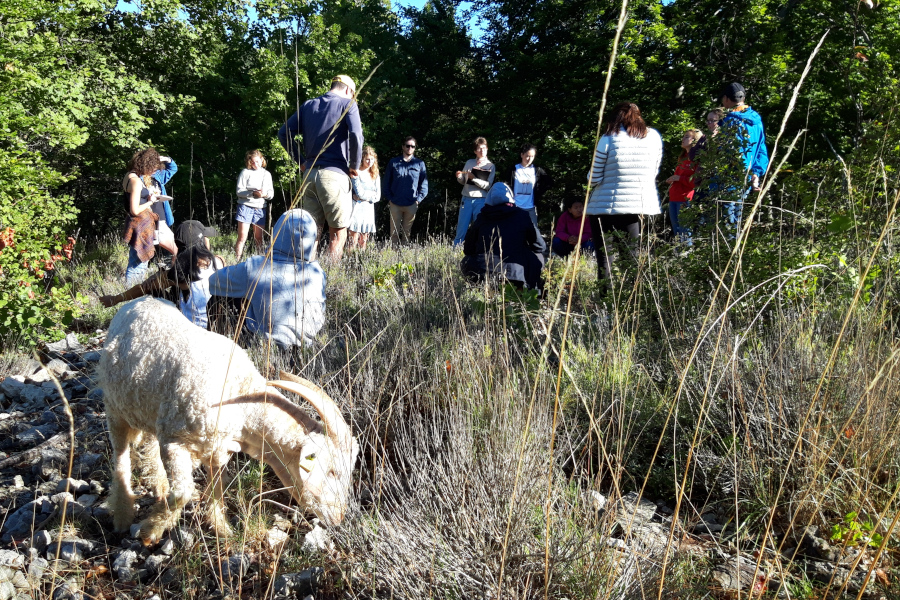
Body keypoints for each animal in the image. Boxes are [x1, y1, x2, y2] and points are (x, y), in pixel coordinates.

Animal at [99, 296, 358, 544]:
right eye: (332, 471)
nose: (338, 517)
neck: (238, 394)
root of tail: (136, 302)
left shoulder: (218, 449)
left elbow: (217, 487)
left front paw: (220, 528)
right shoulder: (175, 441)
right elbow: (183, 493)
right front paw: (150, 530)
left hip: (148, 408)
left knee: (149, 442)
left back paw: (160, 484)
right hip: (114, 408)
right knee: (120, 457)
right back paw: (122, 515)